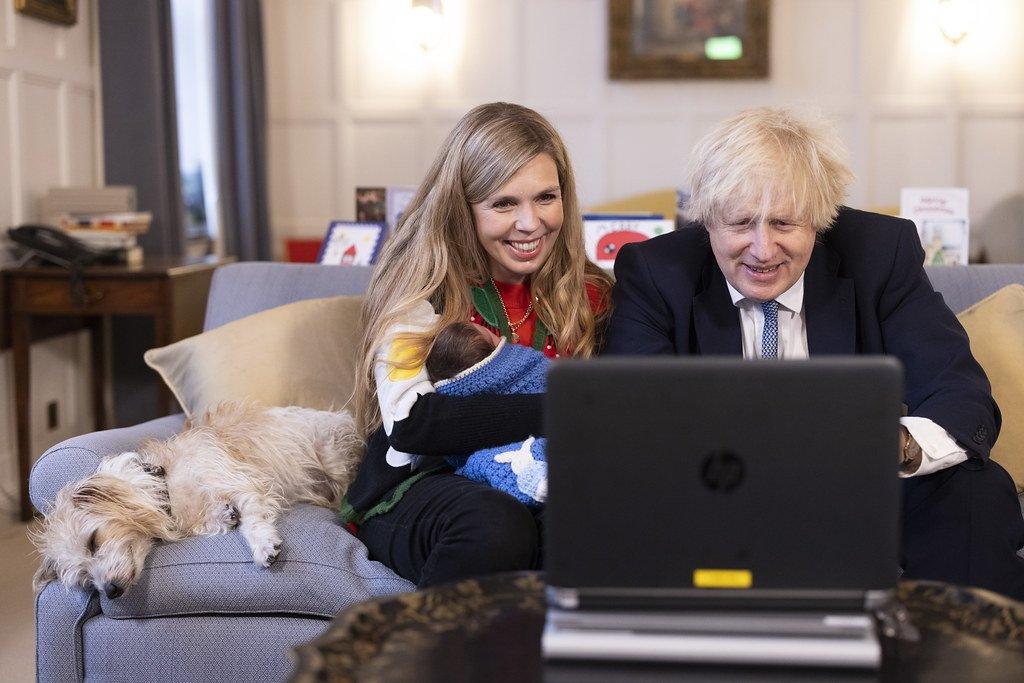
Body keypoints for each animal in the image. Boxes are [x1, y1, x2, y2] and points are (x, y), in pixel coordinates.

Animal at [34, 403, 362, 602]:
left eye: (93, 542)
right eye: (85, 579)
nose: (110, 592)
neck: (166, 484)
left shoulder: (241, 482)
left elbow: (252, 522)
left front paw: (262, 545)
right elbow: (220, 519)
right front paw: (224, 515)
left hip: (332, 457)